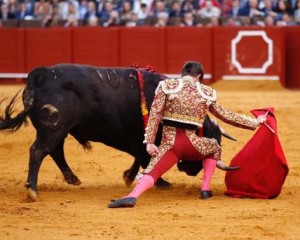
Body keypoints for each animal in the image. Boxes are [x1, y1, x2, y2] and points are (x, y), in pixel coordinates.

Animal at [0, 63, 220, 201]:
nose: (192, 171)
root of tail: (43, 73)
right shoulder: (144, 139)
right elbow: (147, 159)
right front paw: (161, 182)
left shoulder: (138, 140)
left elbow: (140, 157)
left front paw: (129, 176)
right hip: (53, 127)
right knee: (39, 151)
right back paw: (32, 190)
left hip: (58, 129)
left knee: (55, 151)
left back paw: (72, 178)